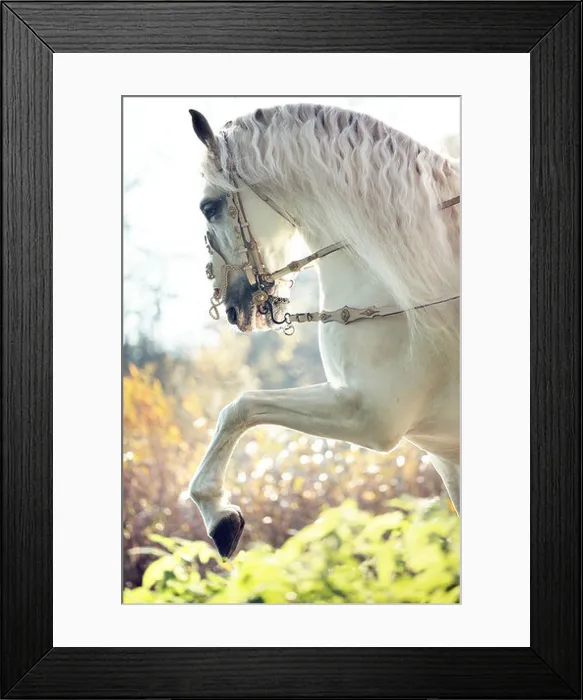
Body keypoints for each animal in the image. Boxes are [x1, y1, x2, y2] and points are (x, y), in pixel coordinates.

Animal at [187, 104, 460, 558]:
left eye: (209, 207)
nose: (230, 307)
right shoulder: (446, 456)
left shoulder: (368, 416)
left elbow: (239, 407)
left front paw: (218, 514)